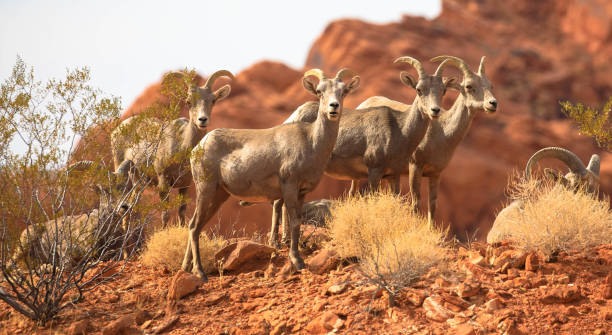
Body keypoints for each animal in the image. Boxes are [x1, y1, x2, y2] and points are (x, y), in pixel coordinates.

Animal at [111, 69, 233, 227]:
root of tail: (116, 130)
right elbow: (165, 213)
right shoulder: (163, 182)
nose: (202, 120)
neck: (182, 148)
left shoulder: (185, 185)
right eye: (188, 101)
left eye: (213, 100)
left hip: (137, 182)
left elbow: (181, 212)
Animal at [180, 67, 358, 278]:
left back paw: (186, 268)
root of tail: (198, 148)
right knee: (193, 226)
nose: (333, 107)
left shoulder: (302, 192)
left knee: (196, 225)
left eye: (343, 91)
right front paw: (297, 261)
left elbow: (295, 222)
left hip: (219, 195)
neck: (312, 142)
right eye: (319, 91)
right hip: (206, 190)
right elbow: (294, 222)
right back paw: (199, 272)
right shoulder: (289, 187)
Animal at [358, 56, 498, 227]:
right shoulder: (415, 167)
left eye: (490, 85)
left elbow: (433, 204)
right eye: (469, 86)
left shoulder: (436, 173)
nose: (493, 103)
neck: (442, 134)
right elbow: (416, 202)